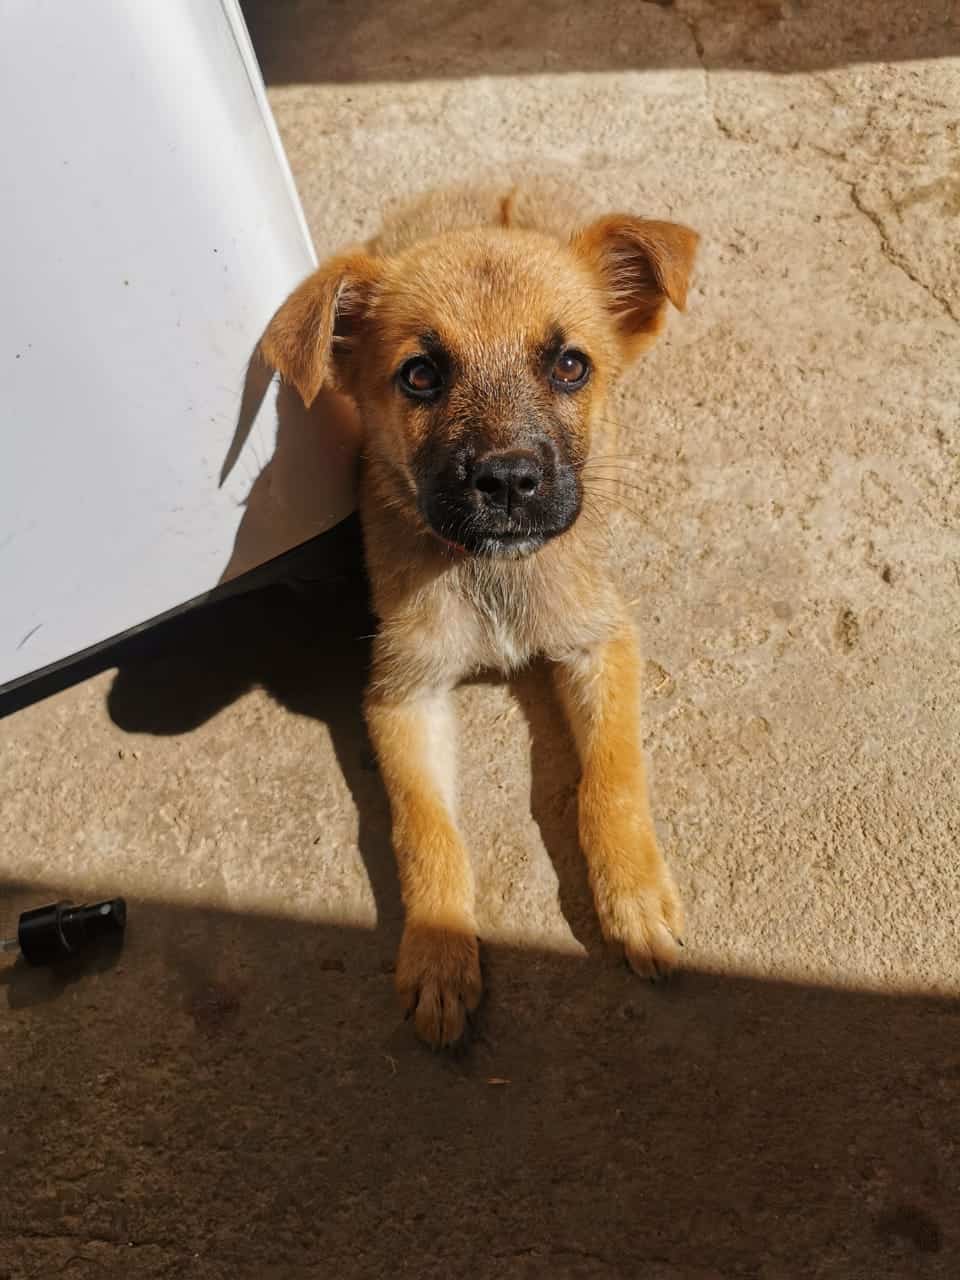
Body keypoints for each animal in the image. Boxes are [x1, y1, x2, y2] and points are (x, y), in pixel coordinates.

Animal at [263, 189, 701, 1049]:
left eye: (570, 365)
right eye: (420, 375)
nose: (506, 481)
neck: (490, 572)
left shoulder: (600, 639)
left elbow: (610, 779)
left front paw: (634, 897)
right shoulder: (404, 692)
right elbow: (426, 829)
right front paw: (438, 954)